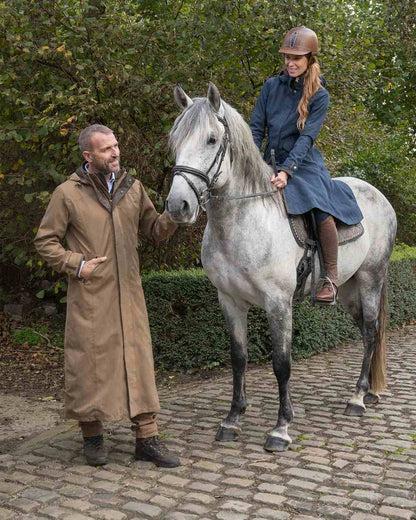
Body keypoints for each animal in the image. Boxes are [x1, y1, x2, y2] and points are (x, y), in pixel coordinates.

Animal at [165, 82, 396, 450]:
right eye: (174, 140)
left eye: (212, 140)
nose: (178, 206)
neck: (244, 221)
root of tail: (378, 195)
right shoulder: (230, 301)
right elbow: (239, 359)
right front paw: (232, 419)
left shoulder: (278, 303)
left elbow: (281, 364)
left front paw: (281, 427)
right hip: (348, 290)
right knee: (365, 332)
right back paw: (370, 392)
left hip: (371, 279)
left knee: (372, 331)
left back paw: (358, 398)